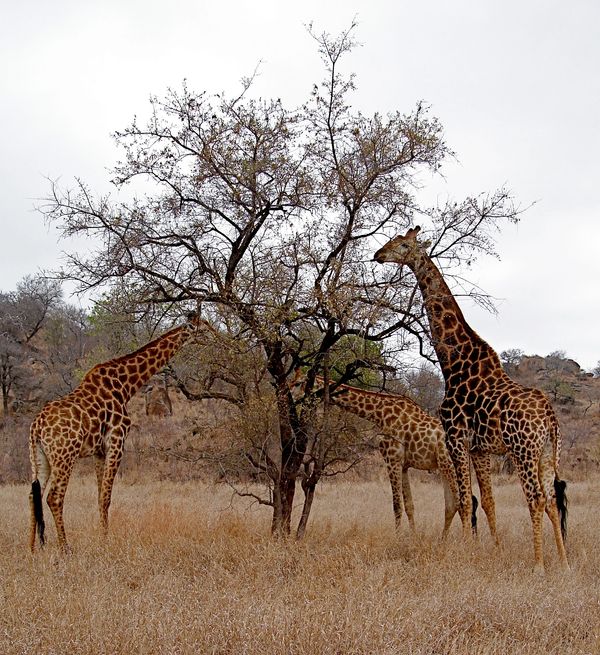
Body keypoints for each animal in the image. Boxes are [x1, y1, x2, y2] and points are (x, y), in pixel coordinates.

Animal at [29, 312, 207, 552]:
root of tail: (37, 427)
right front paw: (106, 542)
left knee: (33, 494)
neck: (125, 385)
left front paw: (101, 537)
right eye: (203, 328)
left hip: (39, 457)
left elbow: (99, 495)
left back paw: (31, 549)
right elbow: (106, 497)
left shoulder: (98, 451)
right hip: (65, 455)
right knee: (54, 497)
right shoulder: (116, 441)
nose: (217, 336)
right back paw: (65, 548)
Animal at [308, 376, 486, 540]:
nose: (306, 399)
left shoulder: (391, 459)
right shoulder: (404, 466)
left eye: (304, 382)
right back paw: (446, 540)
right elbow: (409, 505)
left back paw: (465, 539)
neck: (380, 414)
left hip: (449, 464)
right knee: (454, 504)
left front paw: (397, 538)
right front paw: (413, 536)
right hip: (446, 466)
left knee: (463, 502)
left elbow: (396, 505)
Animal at [372, 228, 568, 572]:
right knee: (552, 499)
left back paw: (538, 565)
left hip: (523, 450)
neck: (453, 363)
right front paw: (496, 550)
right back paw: (563, 561)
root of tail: (548, 414)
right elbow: (487, 501)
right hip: (547, 452)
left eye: (403, 244)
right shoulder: (479, 448)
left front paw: (463, 552)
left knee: (536, 498)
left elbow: (464, 500)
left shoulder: (456, 438)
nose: (378, 254)